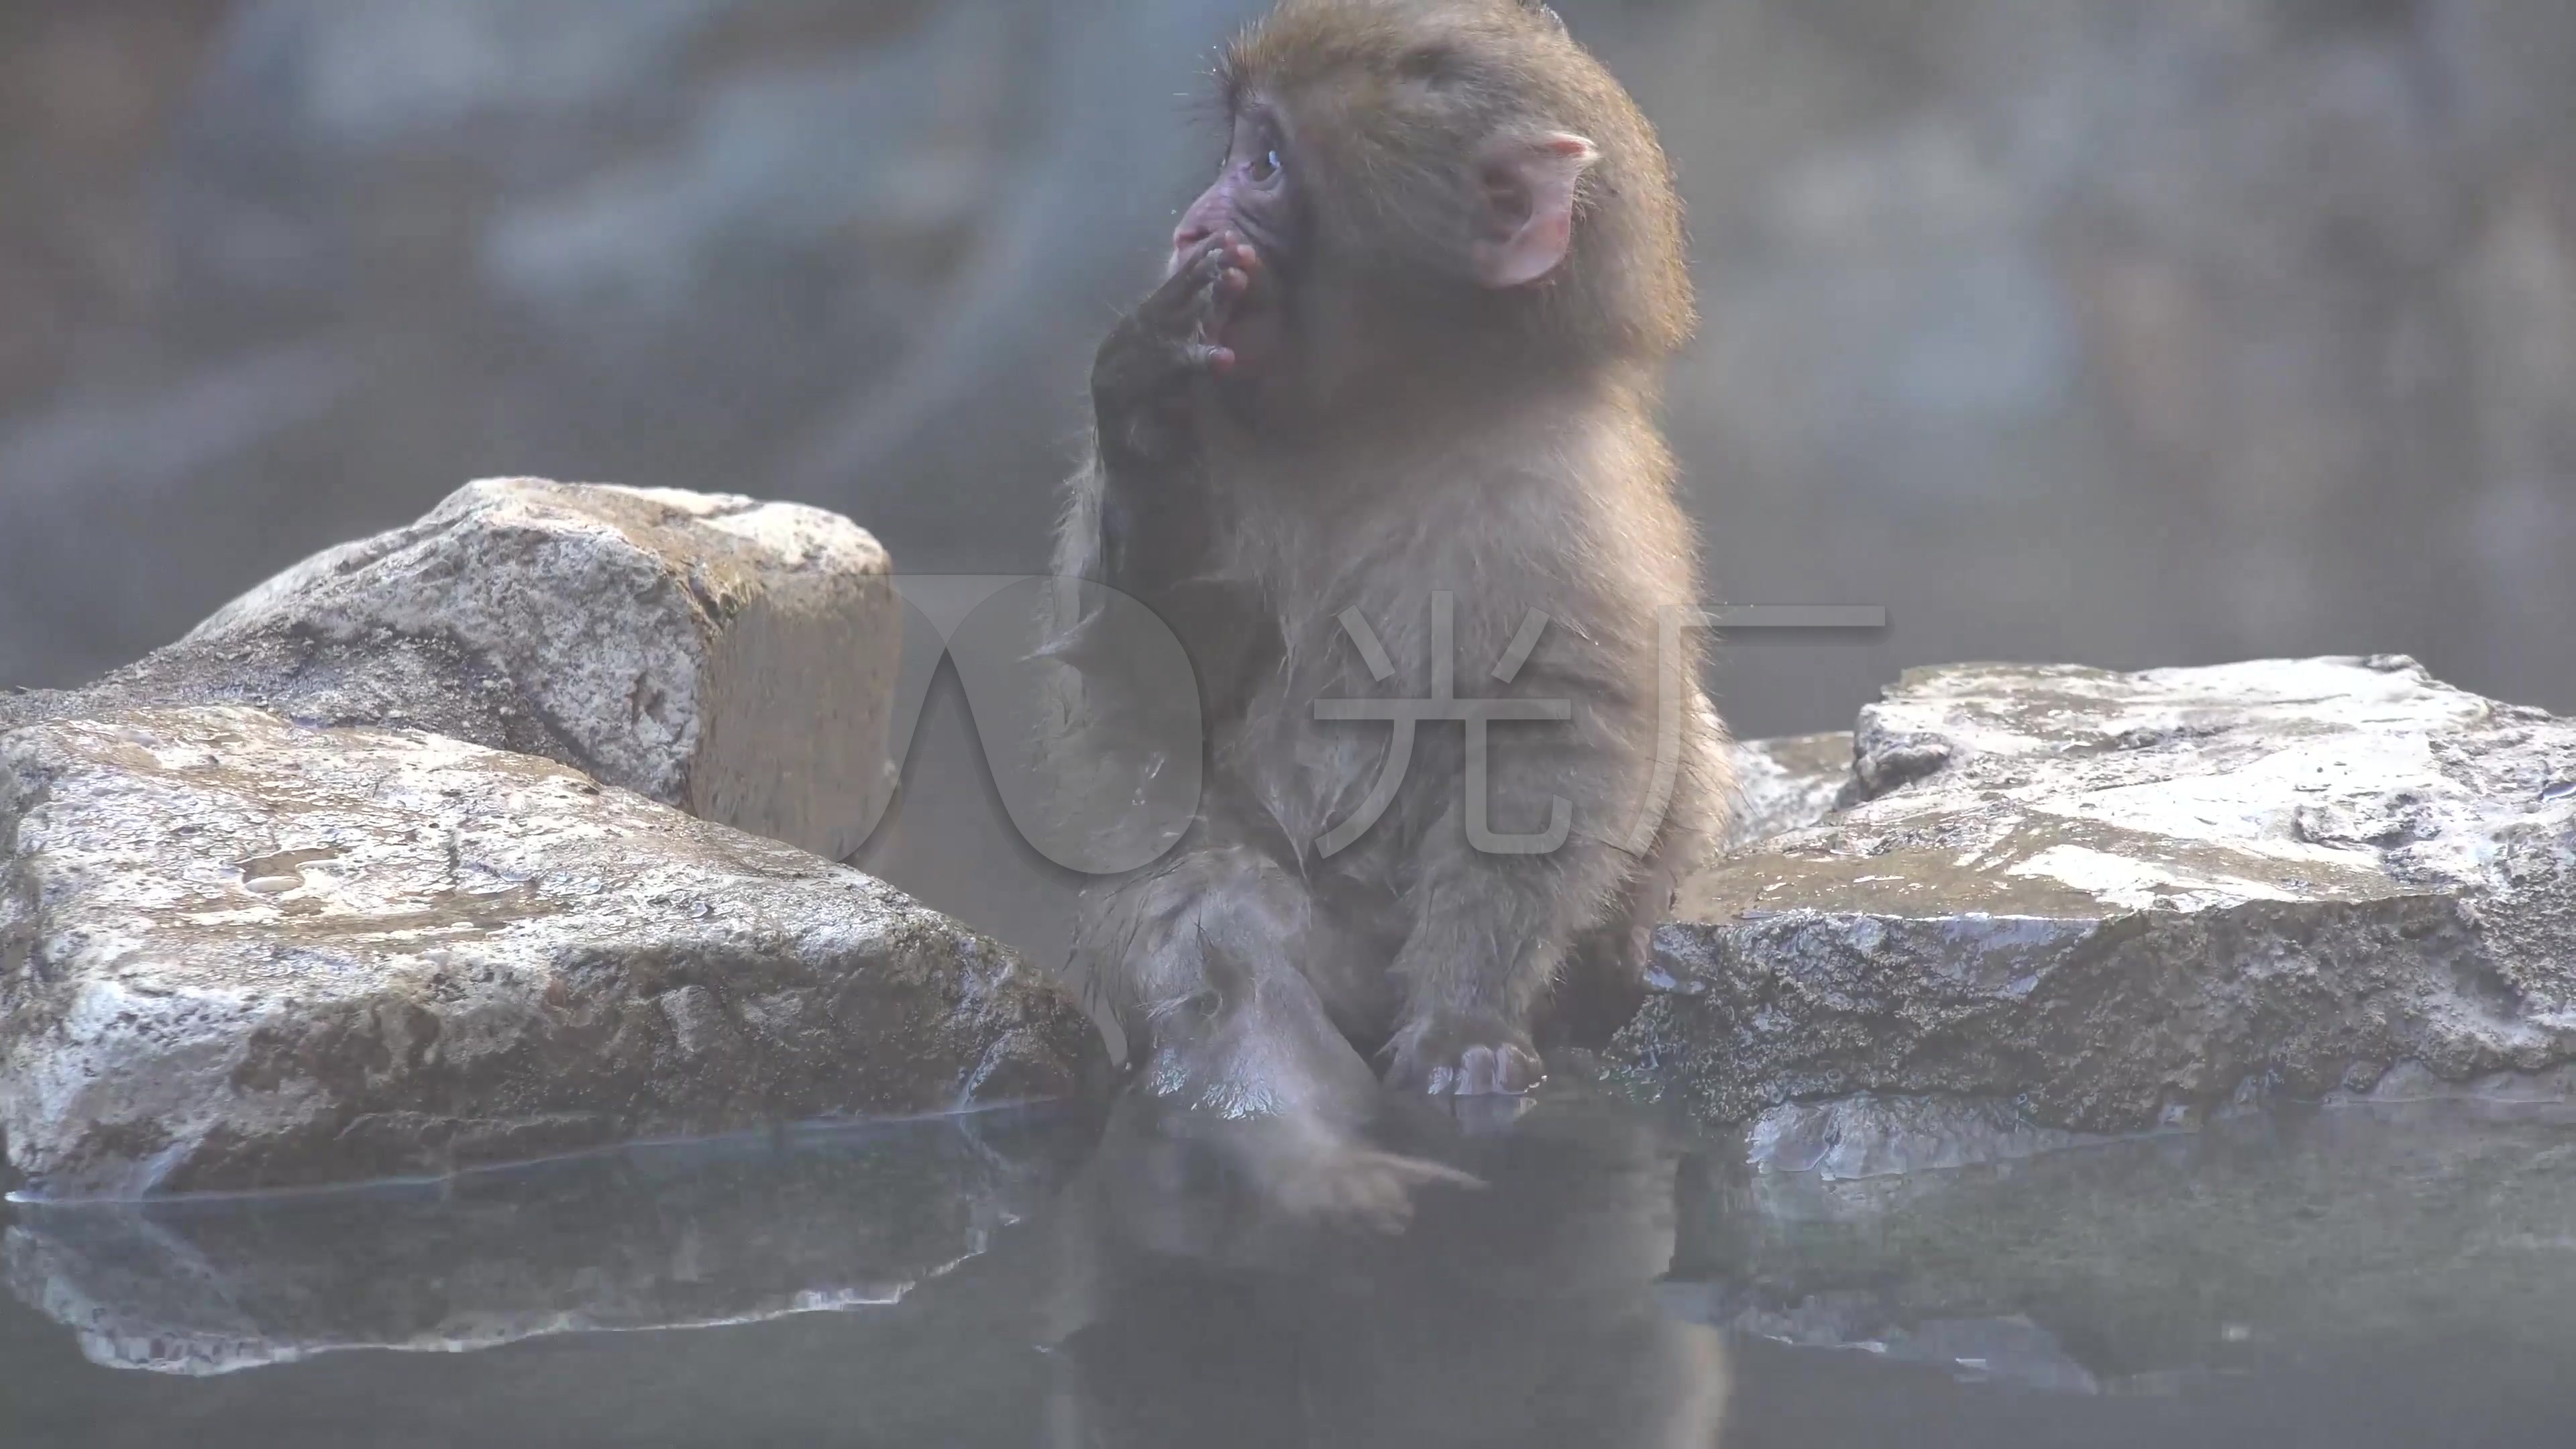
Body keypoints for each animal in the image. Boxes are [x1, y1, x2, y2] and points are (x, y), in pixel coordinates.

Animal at [1040, 0, 1731, 1217]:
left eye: (1267, 165)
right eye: (1236, 150)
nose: (1192, 224)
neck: (1386, 412)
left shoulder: (1566, 501)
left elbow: (1562, 736)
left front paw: (1467, 1022)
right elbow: (1154, 670)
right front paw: (1144, 405)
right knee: (1212, 904)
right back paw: (1299, 1130)